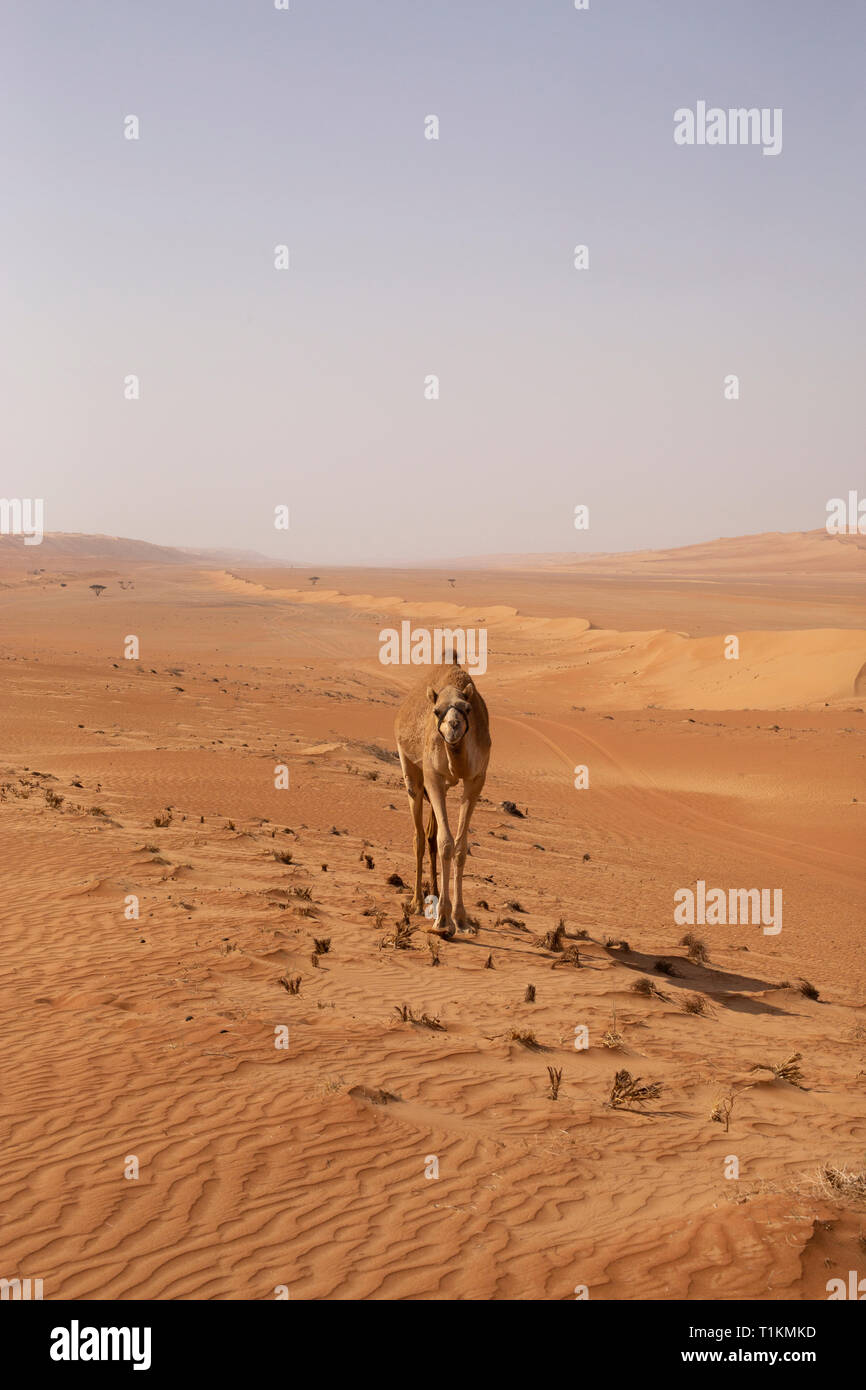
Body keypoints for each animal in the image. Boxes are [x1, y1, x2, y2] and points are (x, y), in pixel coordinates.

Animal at [397, 650, 492, 934]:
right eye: (437, 711)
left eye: (468, 709)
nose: (453, 726)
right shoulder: (433, 776)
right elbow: (446, 842)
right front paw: (442, 921)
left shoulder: (476, 778)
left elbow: (460, 846)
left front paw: (461, 919)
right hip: (411, 771)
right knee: (419, 836)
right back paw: (418, 902)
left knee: (429, 835)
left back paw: (435, 895)